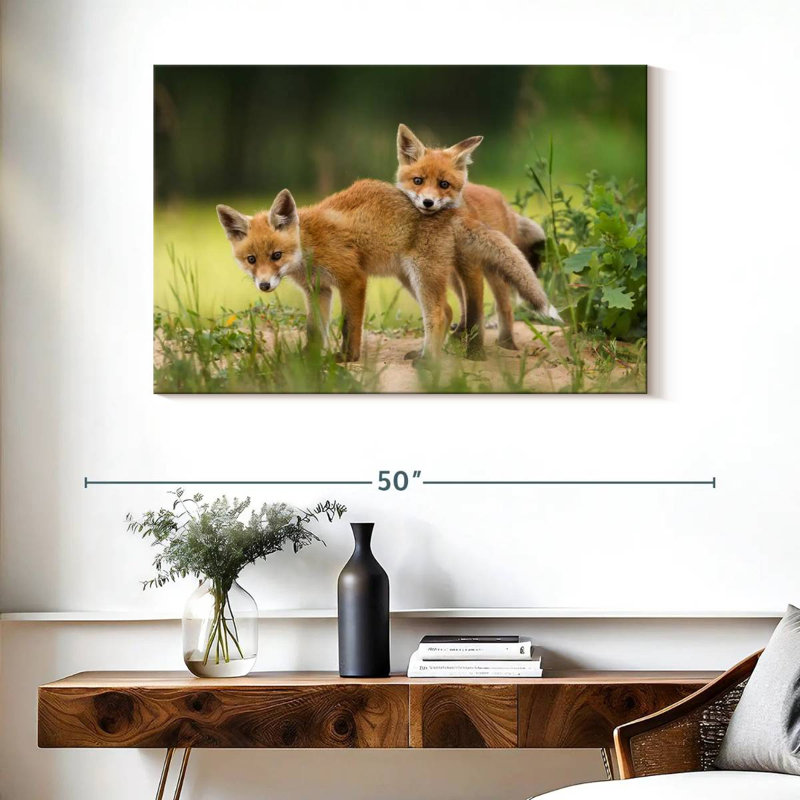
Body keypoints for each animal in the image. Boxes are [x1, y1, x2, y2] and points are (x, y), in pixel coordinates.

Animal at [216, 179, 556, 363]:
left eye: (277, 255)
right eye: (251, 259)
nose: (264, 286)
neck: (309, 245)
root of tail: (450, 211)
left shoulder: (352, 279)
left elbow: (349, 326)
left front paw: (347, 358)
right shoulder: (318, 290)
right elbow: (315, 330)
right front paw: (307, 360)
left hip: (421, 274)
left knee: (438, 313)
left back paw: (428, 362)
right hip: (408, 277)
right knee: (448, 310)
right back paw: (427, 354)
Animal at [396, 123, 550, 350]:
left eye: (444, 184)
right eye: (418, 181)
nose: (428, 202)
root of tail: (502, 200)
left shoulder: (470, 266)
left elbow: (475, 308)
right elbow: (465, 306)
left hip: (494, 270)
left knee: (505, 307)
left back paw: (507, 343)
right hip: (453, 274)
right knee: (463, 303)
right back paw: (460, 333)